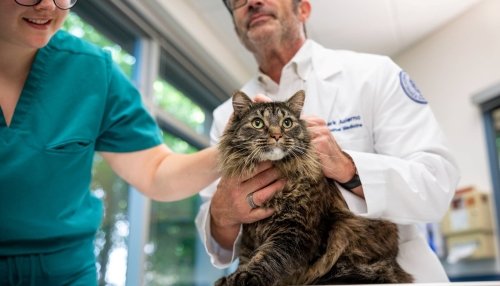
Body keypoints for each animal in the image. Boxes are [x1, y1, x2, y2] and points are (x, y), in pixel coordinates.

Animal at [215, 90, 414, 284]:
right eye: (257, 123)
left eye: (287, 123)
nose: (277, 135)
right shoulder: (249, 235)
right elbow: (246, 259)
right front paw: (231, 278)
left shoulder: (296, 232)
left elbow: (269, 258)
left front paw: (247, 277)